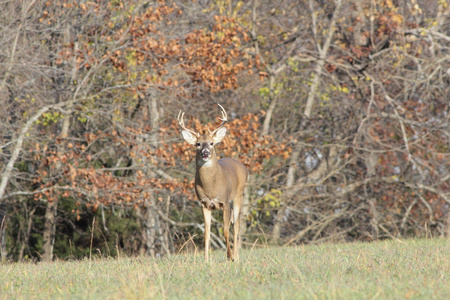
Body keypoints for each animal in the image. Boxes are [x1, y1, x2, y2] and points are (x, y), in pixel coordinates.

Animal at [178, 104, 248, 262]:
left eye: (211, 143)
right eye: (197, 144)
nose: (205, 152)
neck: (210, 187)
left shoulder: (225, 201)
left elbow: (226, 230)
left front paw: (229, 256)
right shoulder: (204, 203)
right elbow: (207, 233)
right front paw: (206, 260)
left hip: (238, 196)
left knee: (236, 226)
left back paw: (236, 256)